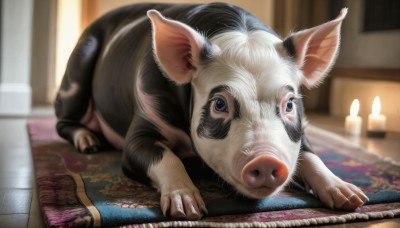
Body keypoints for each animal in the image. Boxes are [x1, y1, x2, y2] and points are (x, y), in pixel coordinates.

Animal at [55, 2, 368, 220]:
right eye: (220, 104)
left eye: (289, 103)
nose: (266, 159)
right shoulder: (143, 121)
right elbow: (164, 157)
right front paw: (187, 209)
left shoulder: (300, 132)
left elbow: (311, 155)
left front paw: (351, 198)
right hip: (76, 74)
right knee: (63, 121)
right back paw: (89, 144)